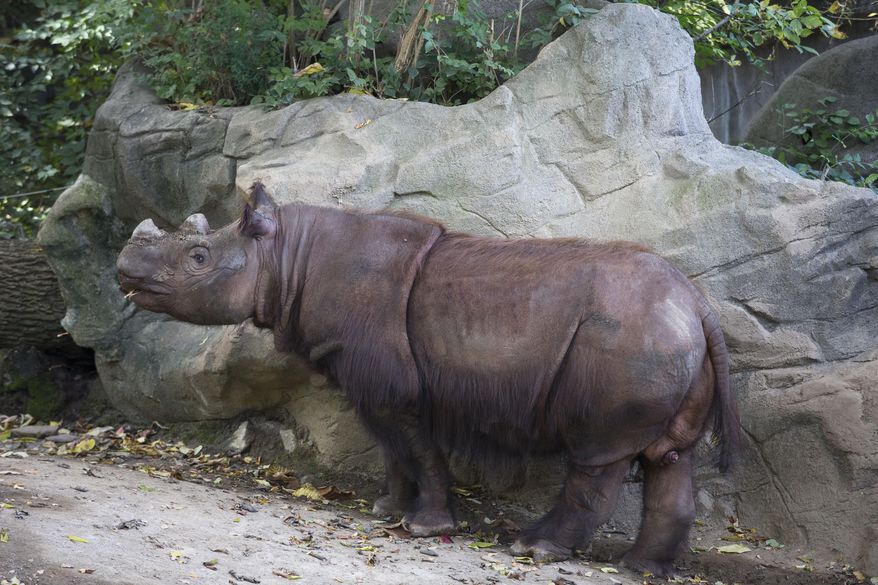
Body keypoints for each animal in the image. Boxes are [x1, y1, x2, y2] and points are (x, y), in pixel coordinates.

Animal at [116, 181, 740, 576]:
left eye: (198, 257)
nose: (124, 271)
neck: (287, 255)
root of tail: (697, 304)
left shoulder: (395, 386)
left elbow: (415, 446)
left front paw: (424, 527)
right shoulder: (367, 378)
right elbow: (390, 447)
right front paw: (386, 510)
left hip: (629, 339)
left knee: (597, 455)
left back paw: (533, 550)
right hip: (663, 337)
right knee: (668, 458)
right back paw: (642, 568)